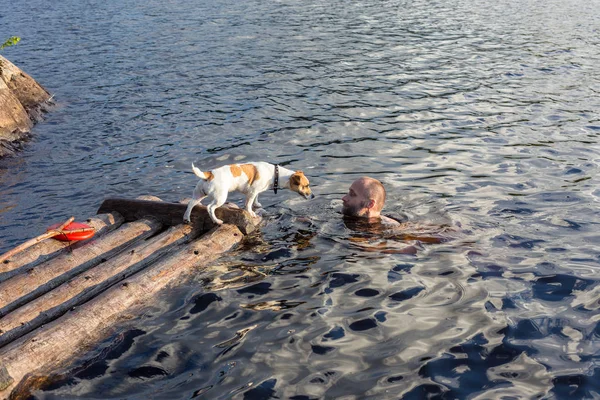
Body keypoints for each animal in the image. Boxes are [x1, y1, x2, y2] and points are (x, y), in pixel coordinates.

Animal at [182, 162, 314, 225]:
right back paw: (217, 221)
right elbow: (248, 204)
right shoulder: (252, 191)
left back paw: (186, 218)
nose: (313, 196)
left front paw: (257, 205)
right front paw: (251, 212)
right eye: (306, 185)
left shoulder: (255, 191)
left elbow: (255, 199)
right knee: (210, 207)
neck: (275, 174)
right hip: (220, 197)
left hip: (199, 195)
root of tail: (209, 174)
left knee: (190, 204)